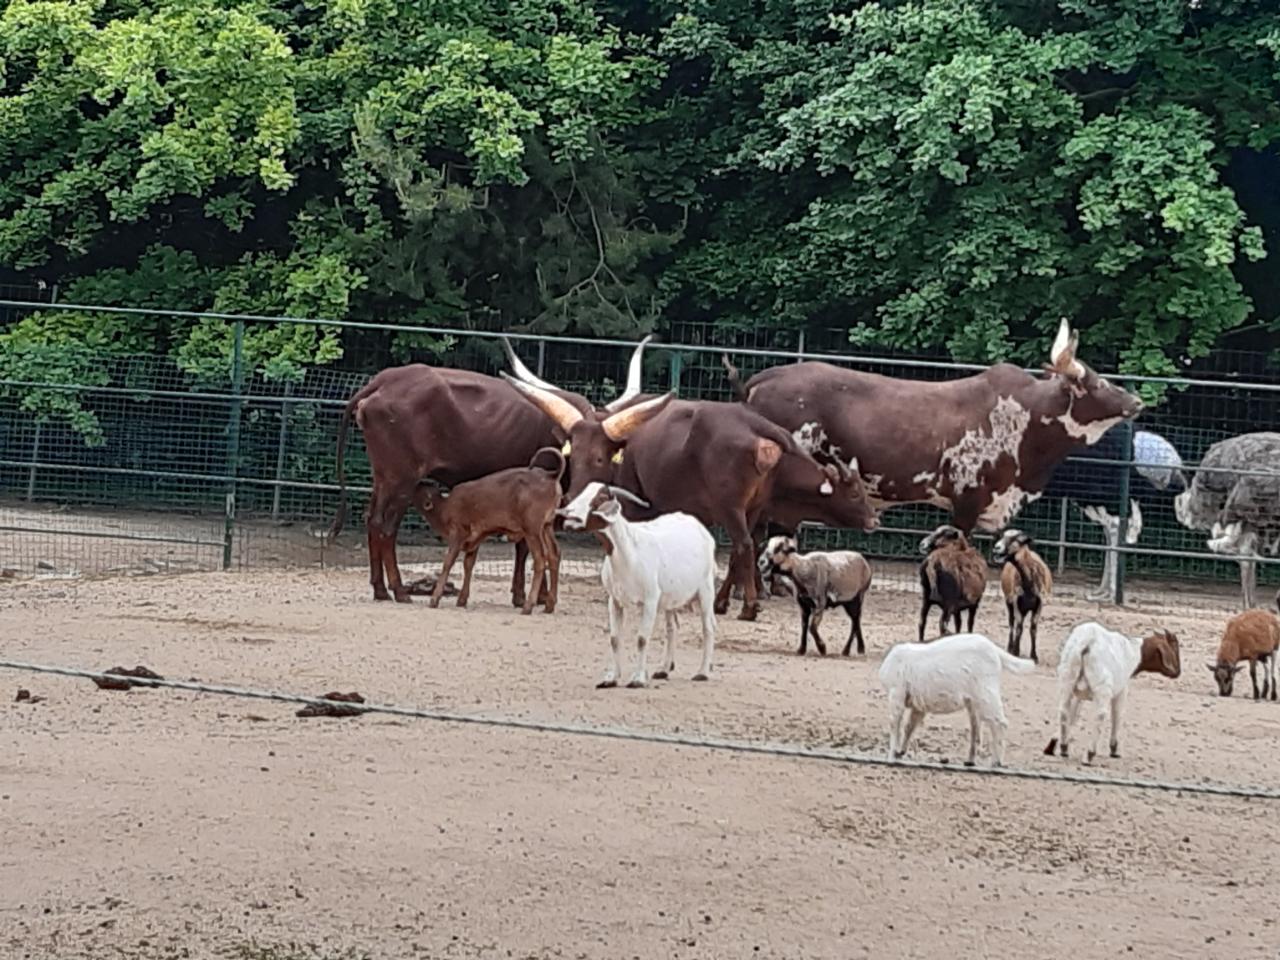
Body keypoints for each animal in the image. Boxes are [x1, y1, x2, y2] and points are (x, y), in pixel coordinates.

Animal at [412, 448, 565, 614]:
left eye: (420, 490)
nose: (419, 481)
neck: (446, 506)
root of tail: (550, 475)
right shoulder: (475, 539)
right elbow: (468, 564)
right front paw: (461, 599)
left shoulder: (457, 534)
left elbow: (448, 562)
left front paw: (434, 599)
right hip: (546, 526)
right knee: (554, 555)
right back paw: (549, 605)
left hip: (532, 530)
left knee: (540, 559)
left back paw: (528, 606)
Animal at [558, 481, 717, 688]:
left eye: (601, 498)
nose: (570, 519)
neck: (630, 549)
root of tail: (700, 528)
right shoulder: (614, 600)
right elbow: (614, 639)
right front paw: (611, 678)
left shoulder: (650, 600)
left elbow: (642, 639)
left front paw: (638, 679)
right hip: (671, 598)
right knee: (672, 628)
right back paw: (663, 670)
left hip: (706, 590)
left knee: (708, 628)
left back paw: (702, 672)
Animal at [879, 633, 1035, 768]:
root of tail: (994, 649)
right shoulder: (918, 705)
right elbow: (909, 726)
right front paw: (900, 752)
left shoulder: (896, 693)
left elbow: (894, 725)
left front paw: (891, 757)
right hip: (974, 700)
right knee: (977, 729)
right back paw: (970, 761)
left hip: (986, 693)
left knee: (999, 722)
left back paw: (996, 762)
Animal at [991, 529, 1052, 662]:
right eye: (1002, 536)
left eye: (1016, 539)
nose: (996, 547)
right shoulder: (1016, 603)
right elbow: (1019, 628)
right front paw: (1015, 651)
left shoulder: (1039, 604)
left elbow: (1033, 629)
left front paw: (1034, 656)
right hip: (1009, 602)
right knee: (1011, 623)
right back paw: (1010, 646)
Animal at [1045, 622, 1181, 763]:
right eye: (1174, 646)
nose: (1178, 672)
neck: (1134, 652)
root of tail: (1087, 642)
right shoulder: (1122, 689)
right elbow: (1118, 714)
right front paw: (1114, 749)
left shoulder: (1078, 694)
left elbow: (1073, 715)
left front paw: (1054, 743)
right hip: (1102, 687)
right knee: (1100, 715)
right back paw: (1089, 754)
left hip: (1067, 678)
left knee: (1063, 710)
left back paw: (1064, 748)